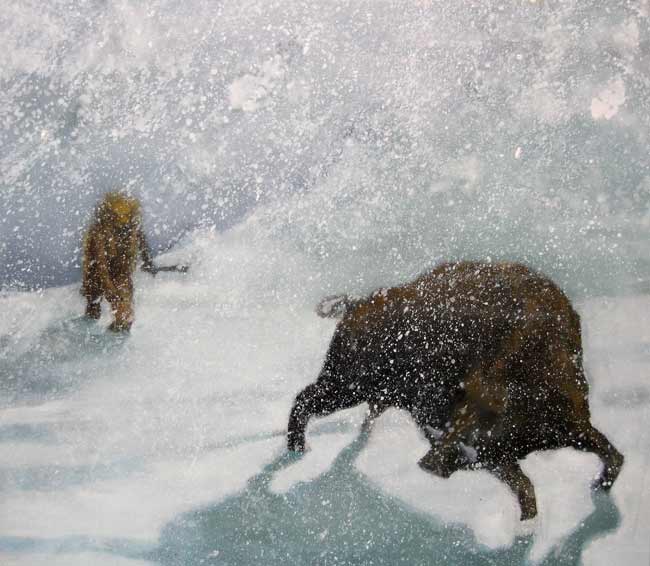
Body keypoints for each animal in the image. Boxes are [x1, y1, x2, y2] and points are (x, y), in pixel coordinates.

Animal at [287, 261, 624, 520]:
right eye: (464, 399)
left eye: (500, 416)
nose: (430, 462)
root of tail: (359, 302)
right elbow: (526, 485)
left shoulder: (559, 431)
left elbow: (608, 456)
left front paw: (598, 487)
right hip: (344, 386)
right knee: (304, 400)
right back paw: (297, 449)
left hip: (364, 393)